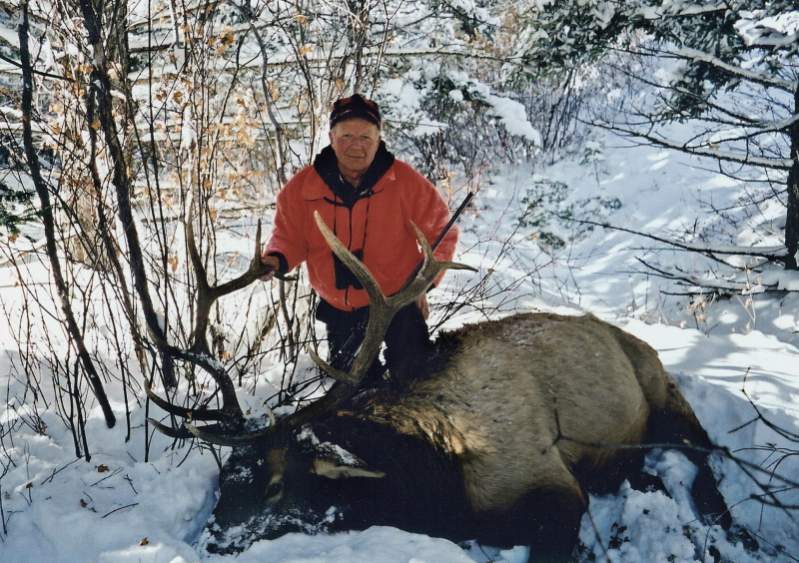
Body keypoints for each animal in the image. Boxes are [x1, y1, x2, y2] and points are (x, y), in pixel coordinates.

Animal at [150, 214, 752, 560]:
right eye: (225, 481)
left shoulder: (554, 486)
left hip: (665, 393)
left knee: (708, 459)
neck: (434, 483)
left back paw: (732, 529)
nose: (212, 544)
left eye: (275, 485)